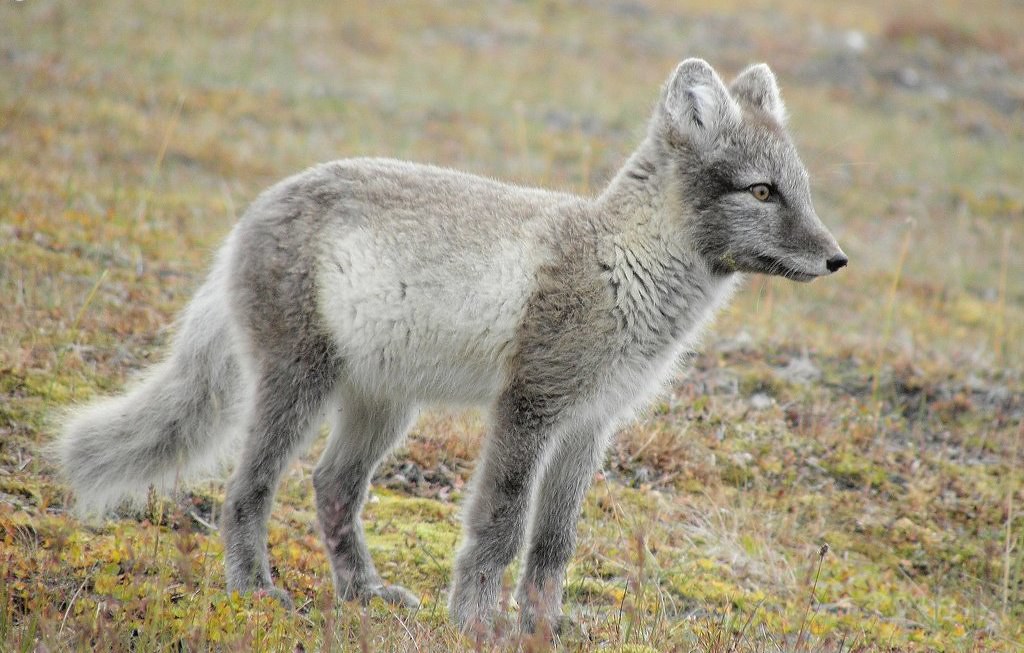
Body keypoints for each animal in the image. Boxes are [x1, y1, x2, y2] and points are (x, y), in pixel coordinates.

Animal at [55, 58, 846, 633]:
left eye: (802, 189)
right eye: (762, 192)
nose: (838, 259)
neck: (623, 266)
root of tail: (253, 211)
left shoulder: (590, 425)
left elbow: (554, 542)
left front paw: (542, 627)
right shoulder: (529, 408)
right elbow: (500, 526)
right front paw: (474, 622)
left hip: (383, 407)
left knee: (332, 488)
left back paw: (364, 593)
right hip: (297, 387)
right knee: (245, 492)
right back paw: (255, 590)